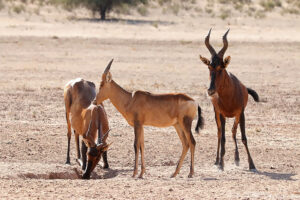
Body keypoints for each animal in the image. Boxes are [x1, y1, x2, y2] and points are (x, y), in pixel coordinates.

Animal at [199, 28, 258, 171]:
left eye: (221, 67)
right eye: (209, 66)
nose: (210, 90)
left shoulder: (241, 113)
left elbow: (244, 137)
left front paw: (252, 164)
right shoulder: (221, 114)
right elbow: (223, 138)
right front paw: (221, 164)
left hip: (236, 117)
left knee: (233, 131)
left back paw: (237, 159)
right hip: (217, 114)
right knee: (220, 133)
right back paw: (217, 161)